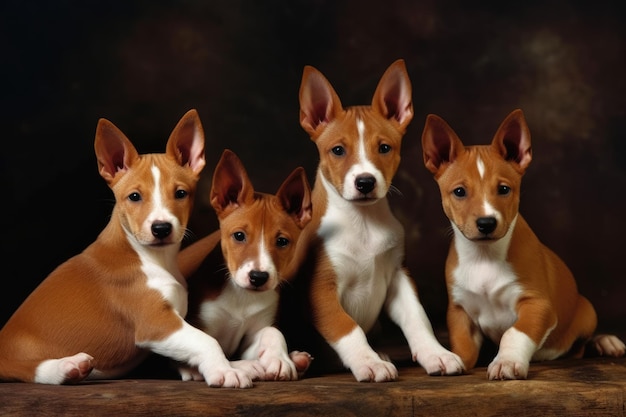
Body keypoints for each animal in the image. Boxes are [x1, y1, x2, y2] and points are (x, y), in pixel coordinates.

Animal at [0, 108, 258, 386]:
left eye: (180, 193)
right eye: (134, 197)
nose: (161, 228)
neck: (152, 257)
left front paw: (239, 365)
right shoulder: (156, 323)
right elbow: (206, 340)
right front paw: (226, 371)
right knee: (32, 370)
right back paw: (68, 366)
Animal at [176, 149, 312, 380]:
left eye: (282, 241)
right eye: (239, 236)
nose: (258, 277)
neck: (242, 297)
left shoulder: (254, 332)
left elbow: (273, 331)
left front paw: (279, 359)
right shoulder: (200, 325)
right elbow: (213, 349)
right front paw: (247, 367)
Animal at [278, 58, 464, 380]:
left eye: (384, 148)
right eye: (338, 150)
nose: (365, 182)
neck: (362, 223)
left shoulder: (399, 279)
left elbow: (419, 319)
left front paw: (435, 354)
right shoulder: (322, 290)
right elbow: (347, 328)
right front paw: (369, 361)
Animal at [420, 108, 624, 380]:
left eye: (504, 189)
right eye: (460, 192)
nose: (487, 223)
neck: (484, 256)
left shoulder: (538, 306)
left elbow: (513, 333)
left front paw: (506, 361)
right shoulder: (460, 312)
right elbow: (462, 347)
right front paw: (448, 358)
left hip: (587, 310)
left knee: (582, 344)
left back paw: (606, 342)